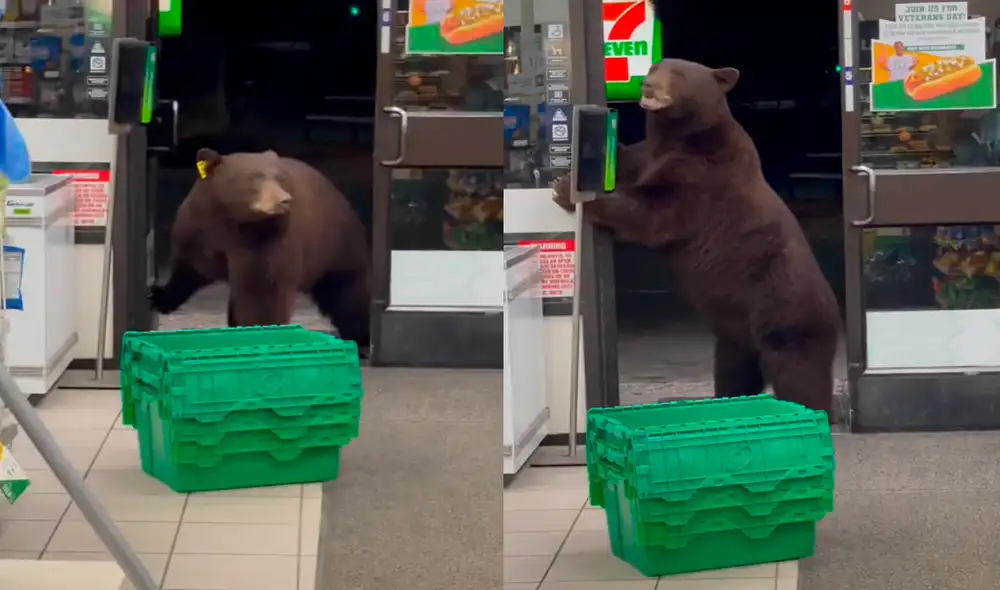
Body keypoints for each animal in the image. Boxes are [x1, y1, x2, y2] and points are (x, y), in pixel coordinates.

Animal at [148, 148, 372, 353]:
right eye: (255, 178)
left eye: (279, 178)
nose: (284, 200)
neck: (232, 221)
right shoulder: (200, 231)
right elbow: (190, 268)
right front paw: (157, 296)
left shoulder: (265, 241)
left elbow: (263, 291)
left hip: (335, 248)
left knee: (346, 296)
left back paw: (360, 338)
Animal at [553, 59, 840, 414]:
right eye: (654, 67)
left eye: (678, 74)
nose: (648, 85)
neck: (680, 137)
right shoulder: (649, 156)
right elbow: (629, 160)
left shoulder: (703, 177)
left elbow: (653, 213)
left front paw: (568, 189)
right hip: (735, 337)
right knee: (734, 374)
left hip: (788, 317)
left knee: (800, 377)